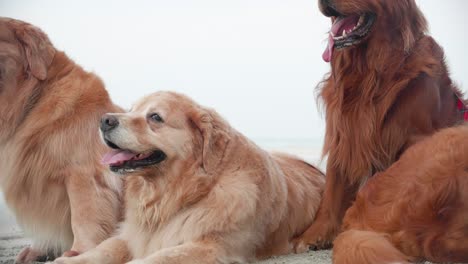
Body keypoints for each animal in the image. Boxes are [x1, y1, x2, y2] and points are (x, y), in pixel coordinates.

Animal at [53, 91, 326, 264]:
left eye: (155, 117)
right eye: (131, 110)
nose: (105, 120)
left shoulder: (214, 246)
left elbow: (162, 257)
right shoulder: (132, 235)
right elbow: (105, 249)